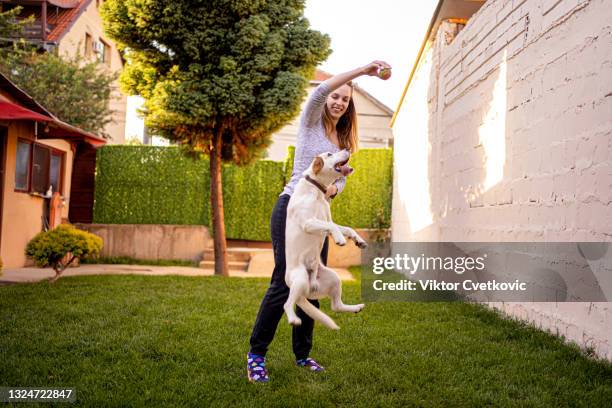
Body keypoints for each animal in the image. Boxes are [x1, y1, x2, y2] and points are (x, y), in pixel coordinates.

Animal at [284, 148, 366, 330]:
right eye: (329, 154)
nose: (347, 149)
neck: (316, 190)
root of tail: (309, 286)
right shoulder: (309, 223)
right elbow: (333, 228)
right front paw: (340, 240)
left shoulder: (328, 221)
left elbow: (346, 228)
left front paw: (358, 240)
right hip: (300, 278)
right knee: (287, 304)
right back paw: (293, 319)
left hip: (334, 279)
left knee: (336, 306)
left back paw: (355, 307)